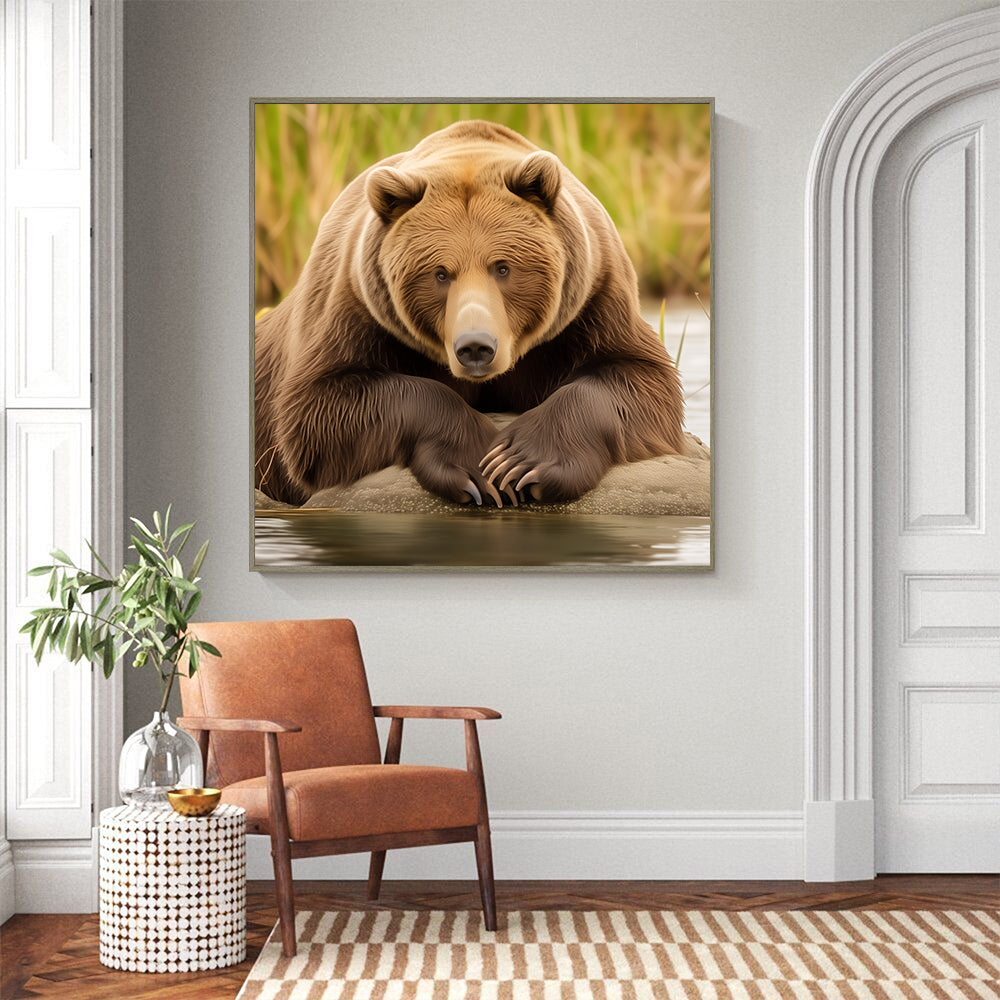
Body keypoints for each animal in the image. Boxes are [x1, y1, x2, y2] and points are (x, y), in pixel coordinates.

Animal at [254, 119, 685, 508]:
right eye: (440, 273)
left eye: (503, 267)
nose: (476, 346)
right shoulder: (356, 308)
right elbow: (318, 408)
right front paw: (478, 464)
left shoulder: (591, 301)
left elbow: (638, 378)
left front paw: (521, 461)